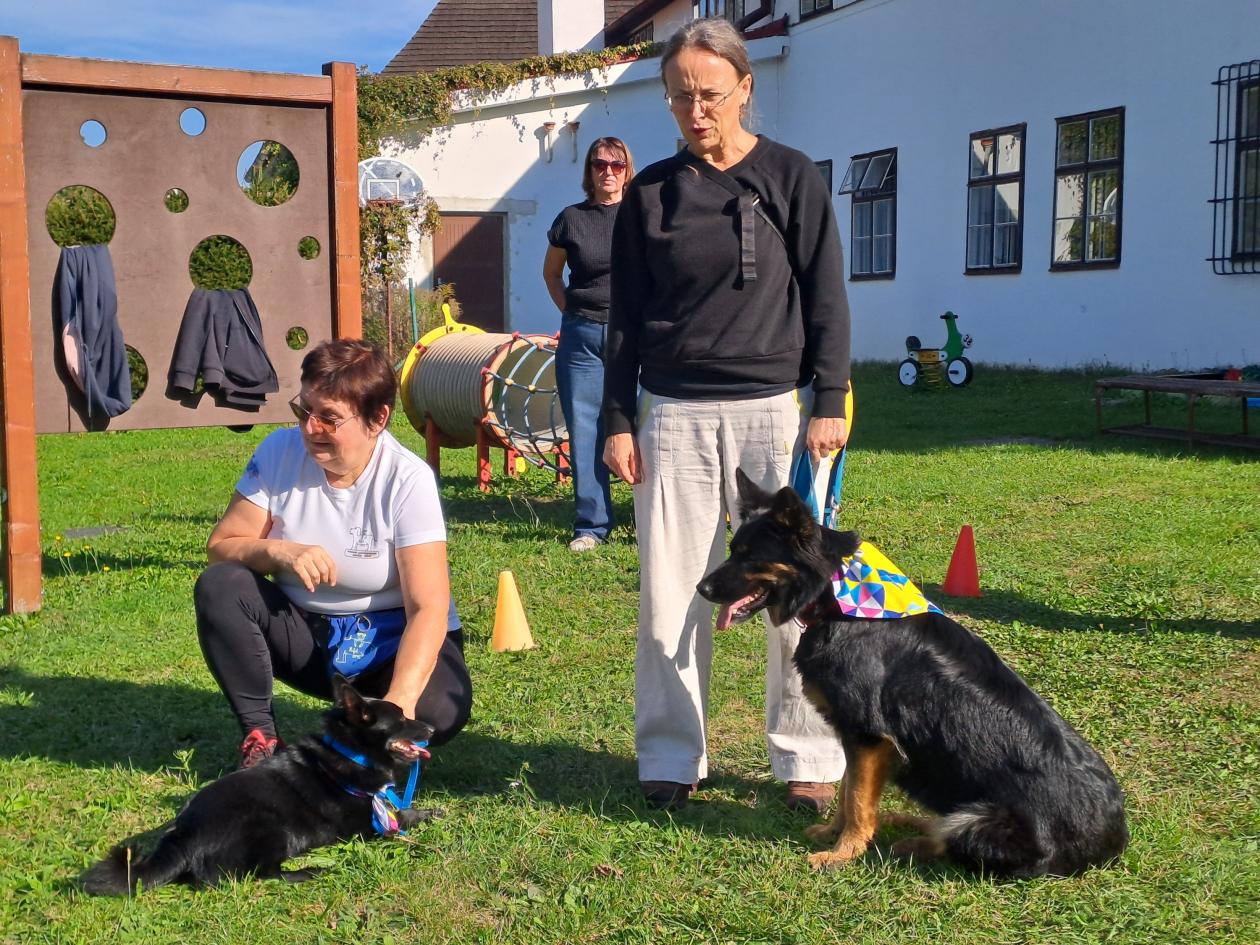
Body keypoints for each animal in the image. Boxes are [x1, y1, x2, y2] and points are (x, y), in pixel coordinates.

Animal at [81, 676, 440, 894]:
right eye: (402, 719)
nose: (432, 728)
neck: (350, 751)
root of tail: (182, 837)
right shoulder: (362, 824)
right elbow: (400, 817)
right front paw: (428, 814)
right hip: (271, 827)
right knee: (260, 874)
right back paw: (308, 871)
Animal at [696, 470, 1128, 877]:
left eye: (750, 556)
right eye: (733, 550)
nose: (701, 589)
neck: (840, 598)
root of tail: (1113, 841)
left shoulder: (867, 737)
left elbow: (856, 801)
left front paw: (843, 853)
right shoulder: (858, 739)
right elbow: (849, 793)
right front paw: (836, 836)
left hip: (979, 821)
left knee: (954, 842)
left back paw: (910, 841)